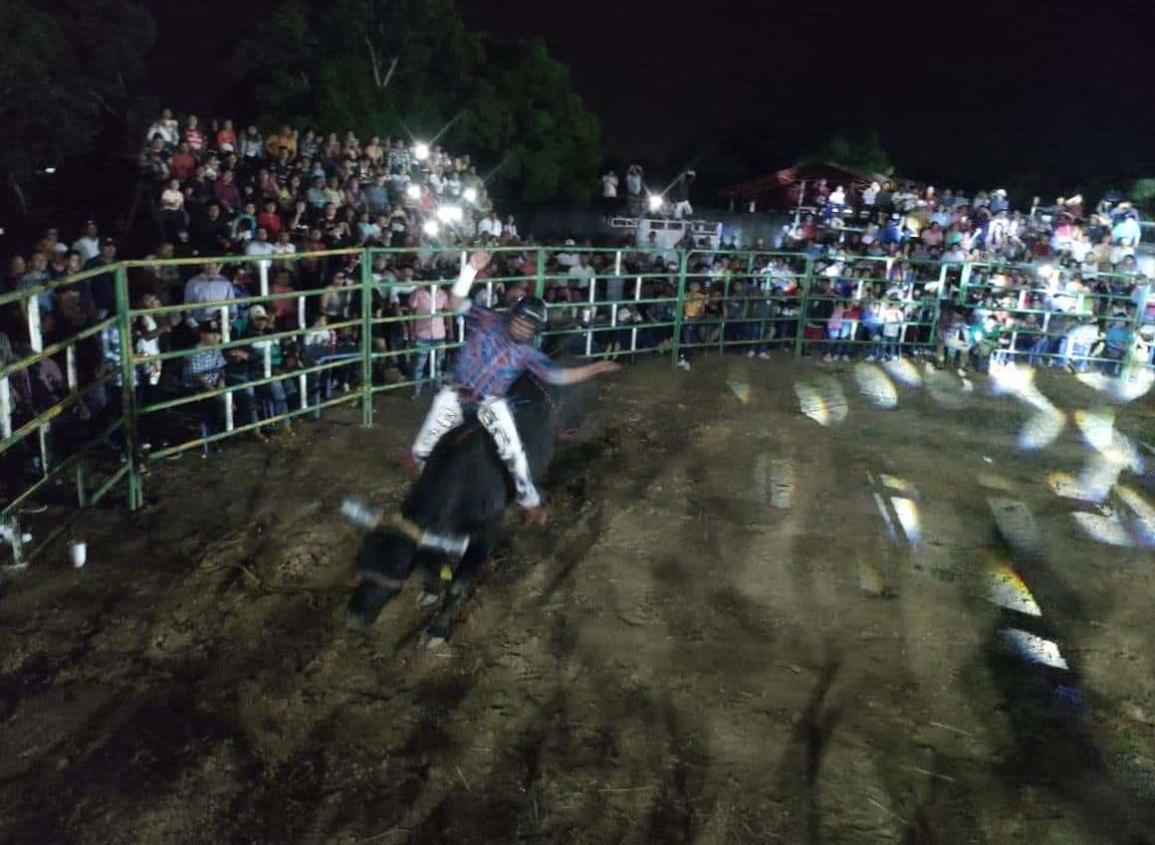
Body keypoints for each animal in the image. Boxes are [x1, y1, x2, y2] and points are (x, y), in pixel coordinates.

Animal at [341, 376, 577, 641]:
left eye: (398, 566)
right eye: (362, 559)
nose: (355, 617)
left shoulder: (484, 536)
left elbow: (457, 585)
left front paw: (438, 629)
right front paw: (431, 592)